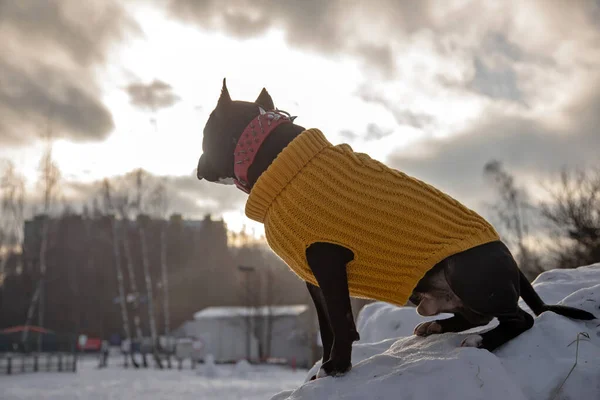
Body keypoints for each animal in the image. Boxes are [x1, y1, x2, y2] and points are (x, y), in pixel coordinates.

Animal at [197, 79, 596, 380]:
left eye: (204, 133)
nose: (197, 163)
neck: (275, 159)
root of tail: (509, 256)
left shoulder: (327, 261)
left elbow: (341, 319)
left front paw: (338, 367)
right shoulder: (312, 278)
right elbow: (326, 326)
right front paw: (324, 368)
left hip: (464, 269)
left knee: (520, 317)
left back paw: (481, 341)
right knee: (477, 315)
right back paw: (438, 328)